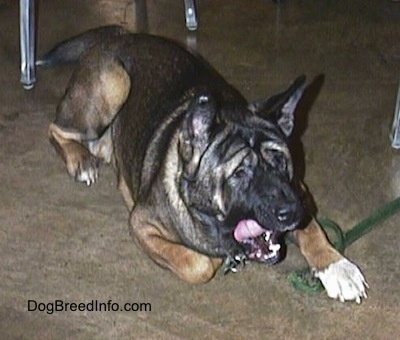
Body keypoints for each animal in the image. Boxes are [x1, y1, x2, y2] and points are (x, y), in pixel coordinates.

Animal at [39, 26, 368, 302]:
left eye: (280, 161)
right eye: (239, 173)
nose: (288, 213)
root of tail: (120, 34)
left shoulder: (300, 192)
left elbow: (313, 231)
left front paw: (337, 266)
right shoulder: (141, 224)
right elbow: (197, 264)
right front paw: (215, 258)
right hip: (114, 85)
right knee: (56, 129)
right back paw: (80, 160)